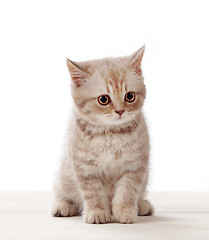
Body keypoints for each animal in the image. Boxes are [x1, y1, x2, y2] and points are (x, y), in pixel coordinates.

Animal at [51, 46, 153, 224]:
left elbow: (127, 191)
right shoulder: (85, 167)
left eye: (130, 96)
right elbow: (93, 194)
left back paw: (142, 205)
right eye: (104, 99)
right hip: (64, 175)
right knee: (62, 191)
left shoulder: (134, 166)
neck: (110, 133)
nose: (120, 111)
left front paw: (125, 211)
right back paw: (62, 206)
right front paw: (97, 213)